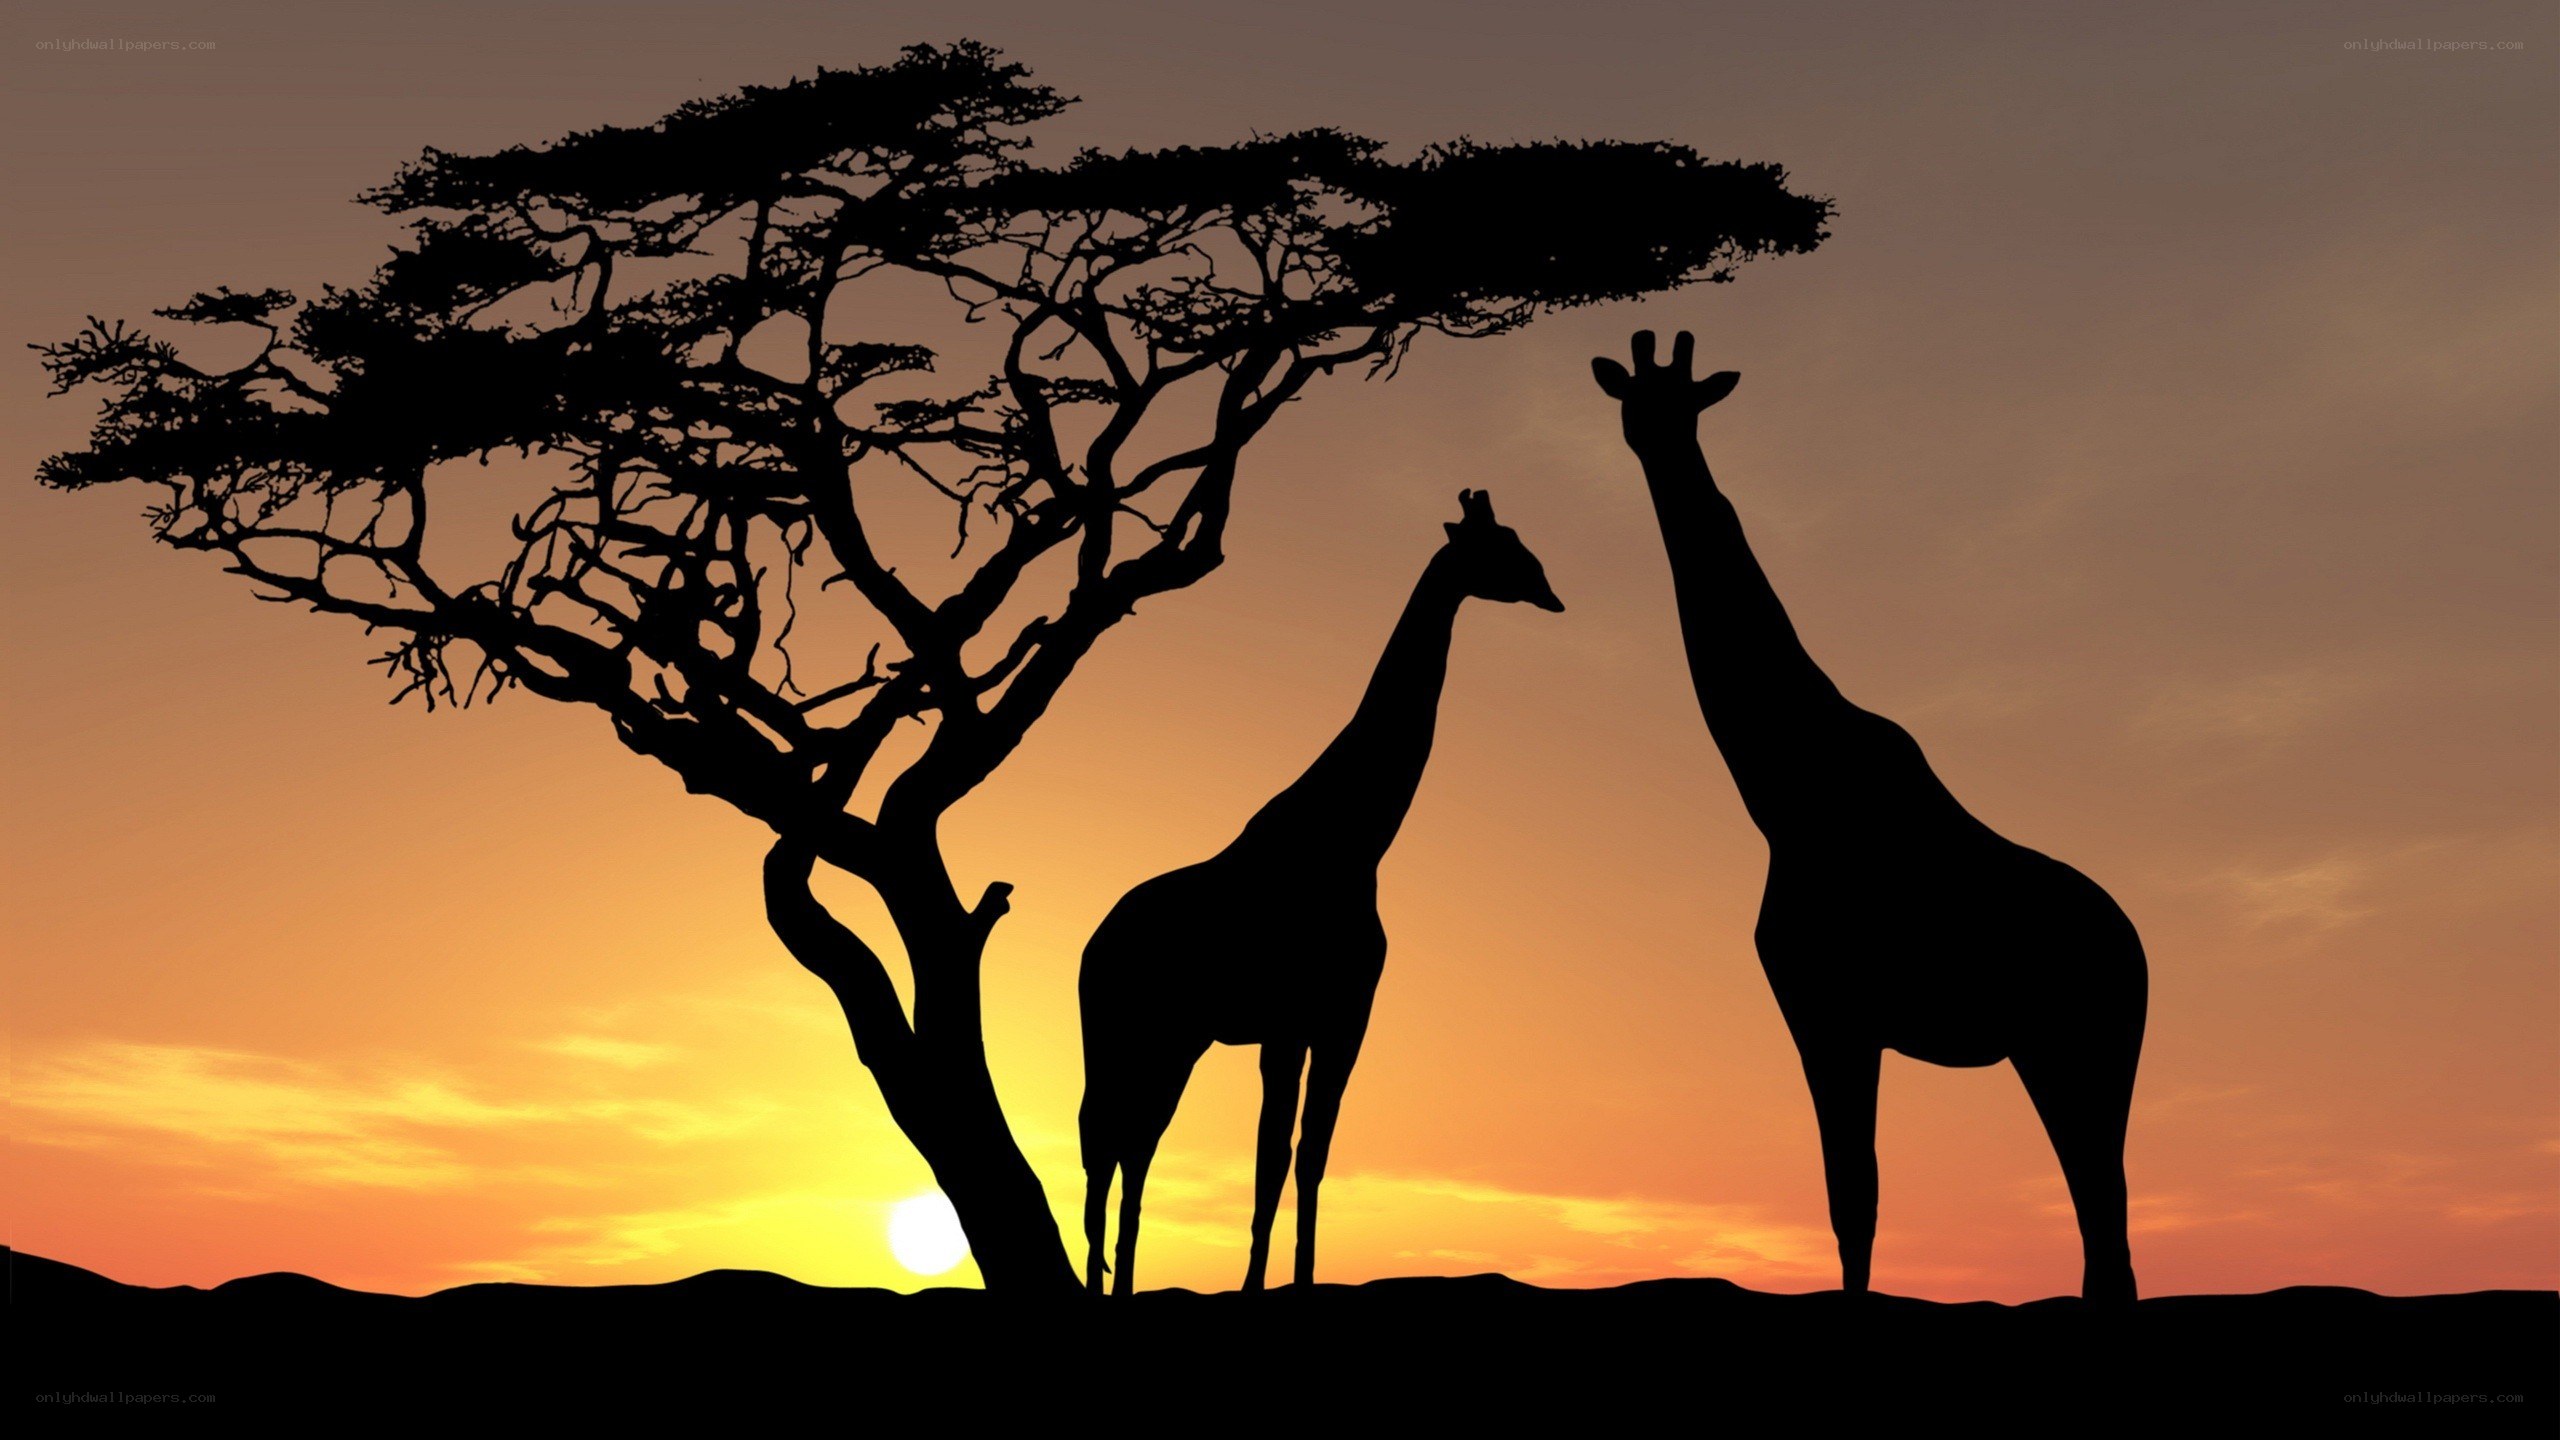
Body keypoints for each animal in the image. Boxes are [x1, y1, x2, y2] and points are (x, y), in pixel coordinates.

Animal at [1077, 490, 1564, 1296]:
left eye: (1523, 544)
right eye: (1502, 549)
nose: (1552, 593)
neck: (1356, 841)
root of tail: (1093, 943)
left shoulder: (1342, 1018)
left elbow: (1312, 1154)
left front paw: (1300, 1281)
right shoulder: (1287, 1021)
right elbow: (1271, 1154)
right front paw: (1252, 1287)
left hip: (1175, 1039)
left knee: (1130, 1139)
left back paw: (1116, 1280)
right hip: (1129, 1029)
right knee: (1108, 1137)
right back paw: (1103, 1282)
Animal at [1593, 330, 2147, 1303]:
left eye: (1687, 403)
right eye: (1635, 400)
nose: (1656, 444)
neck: (1785, 794)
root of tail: (2142, 957)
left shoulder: (1829, 1007)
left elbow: (1854, 1197)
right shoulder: (1829, 1010)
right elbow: (1853, 1200)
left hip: (2080, 1046)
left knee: (2103, 1219)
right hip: (2061, 1052)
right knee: (2102, 1227)